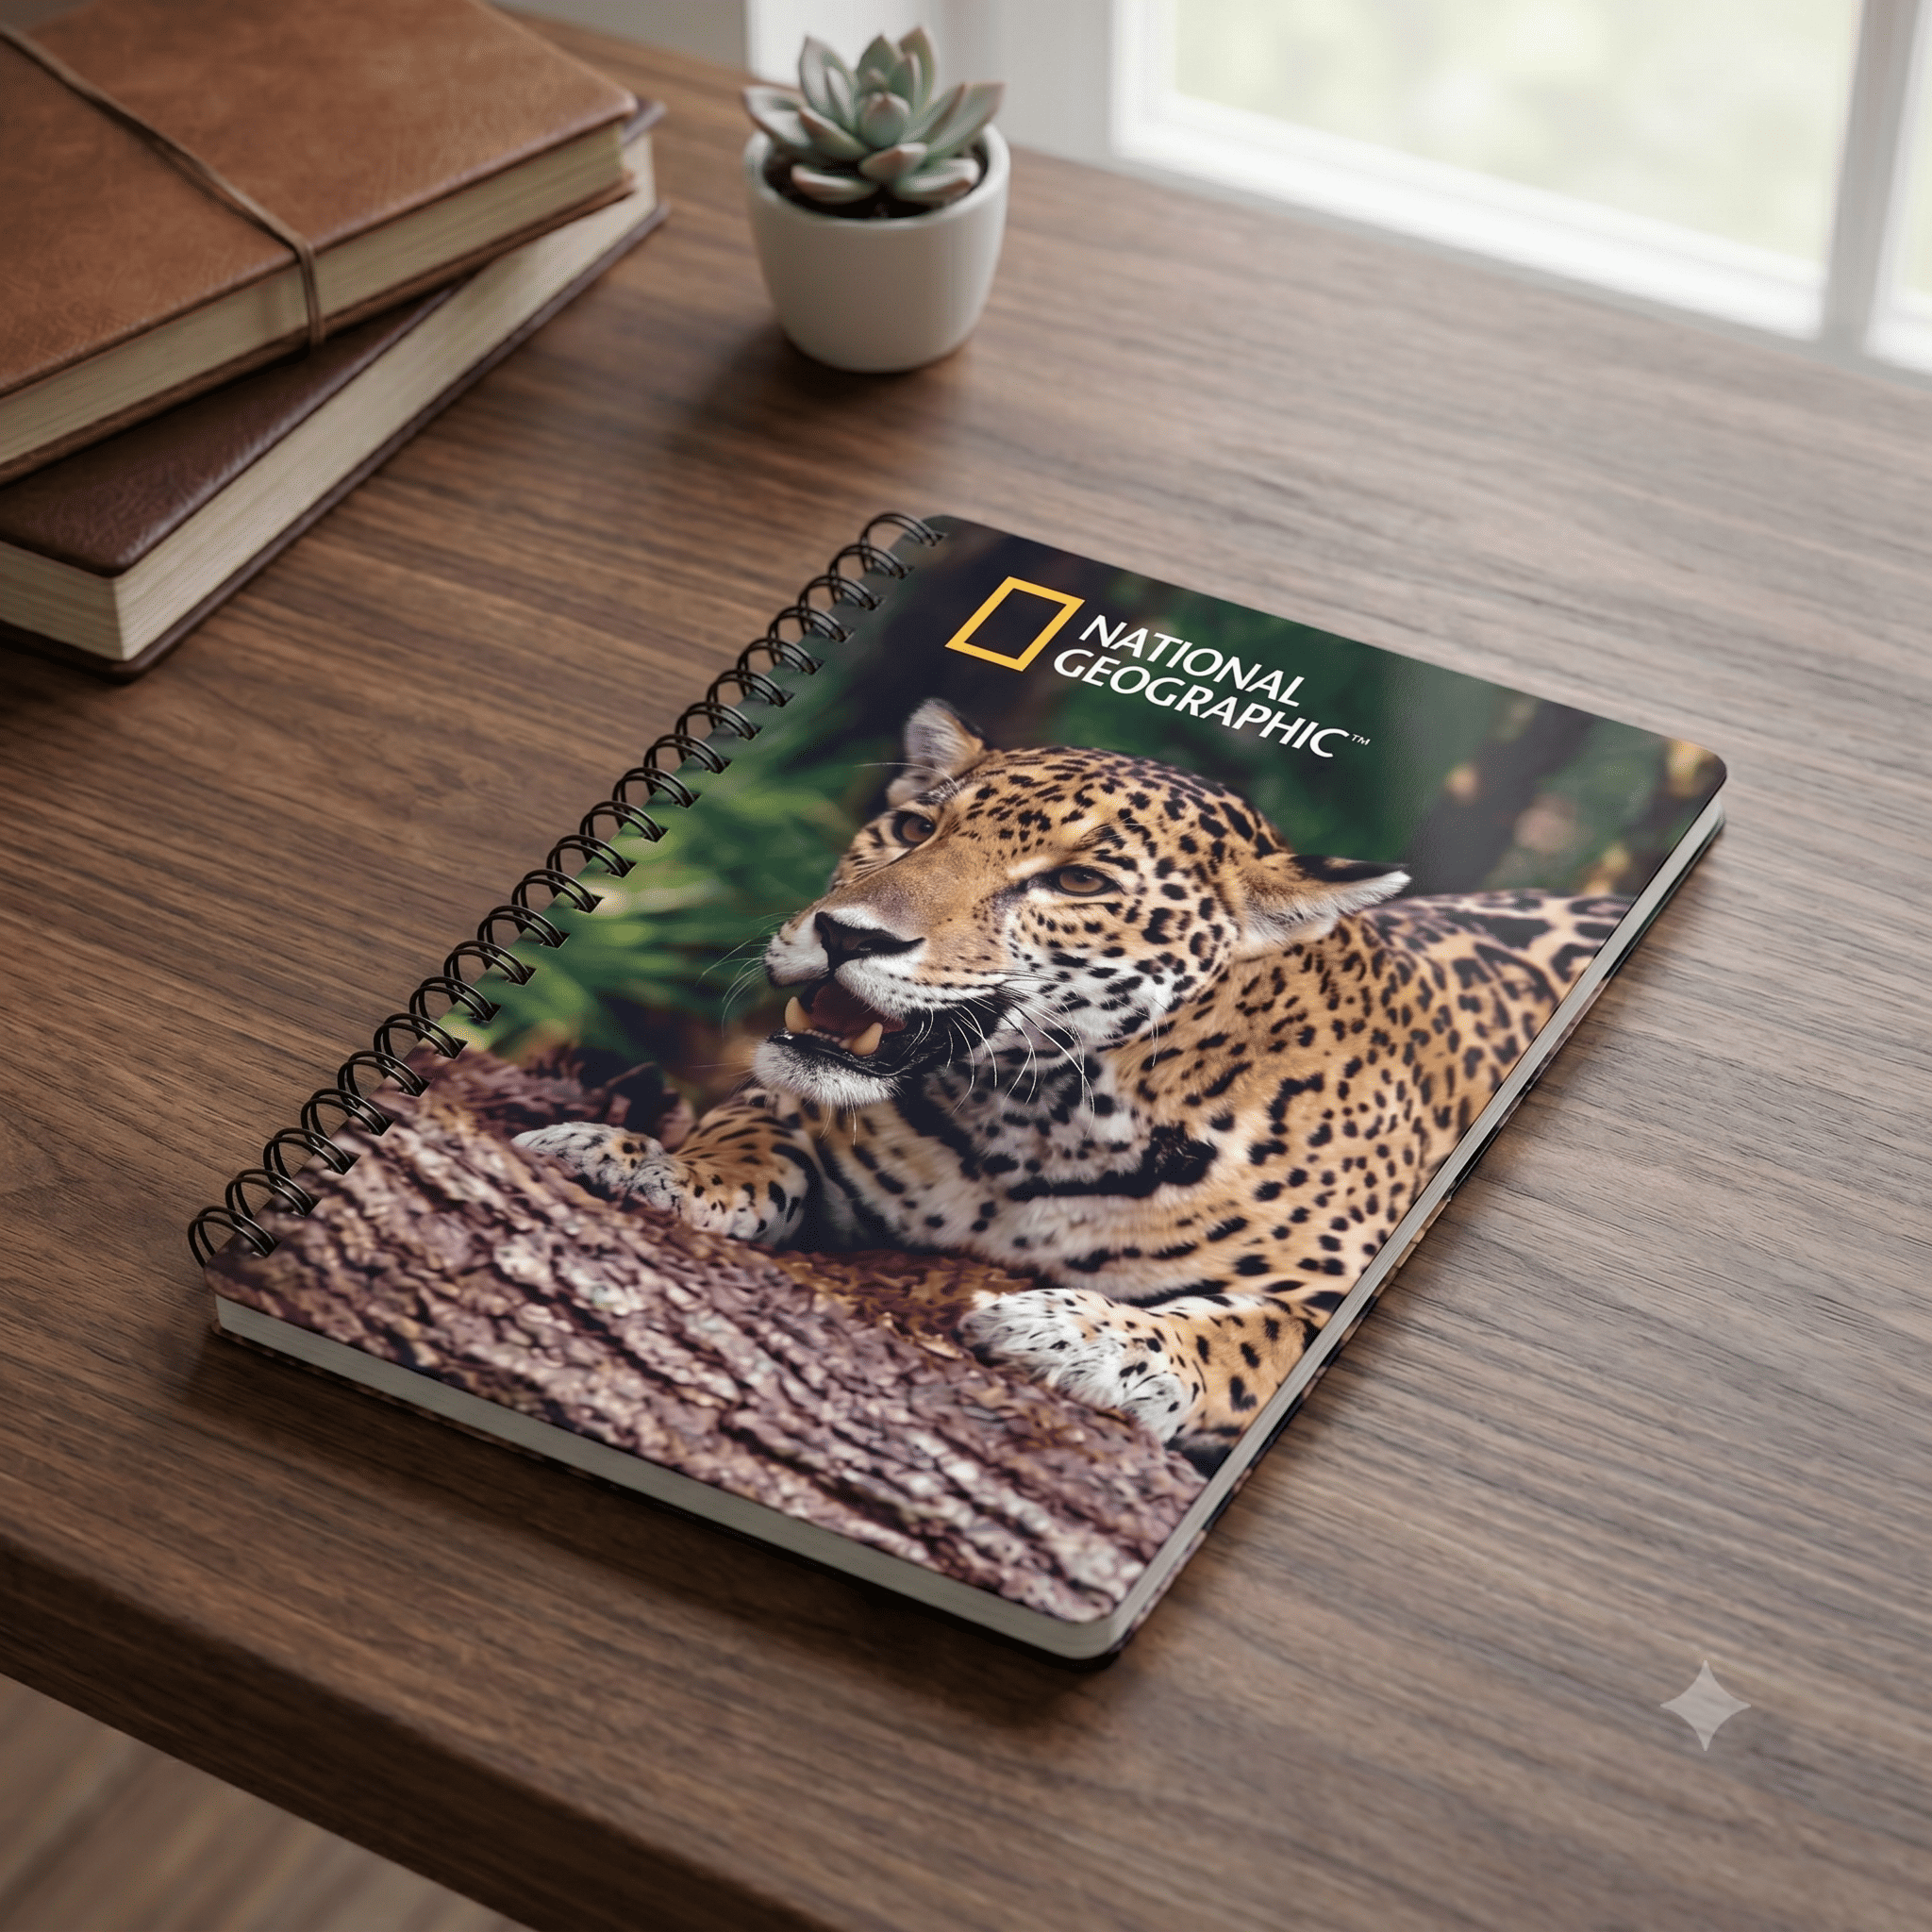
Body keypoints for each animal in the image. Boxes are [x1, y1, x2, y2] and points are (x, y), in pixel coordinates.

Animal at [517, 698, 1628, 1466]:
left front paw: (1072, 1332)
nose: (846, 934)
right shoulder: (794, 1101)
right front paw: (648, 1164)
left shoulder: (1326, 1294)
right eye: (914, 829)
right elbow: (748, 1130)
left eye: (1077, 883)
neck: (1029, 1127)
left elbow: (1243, 1339)